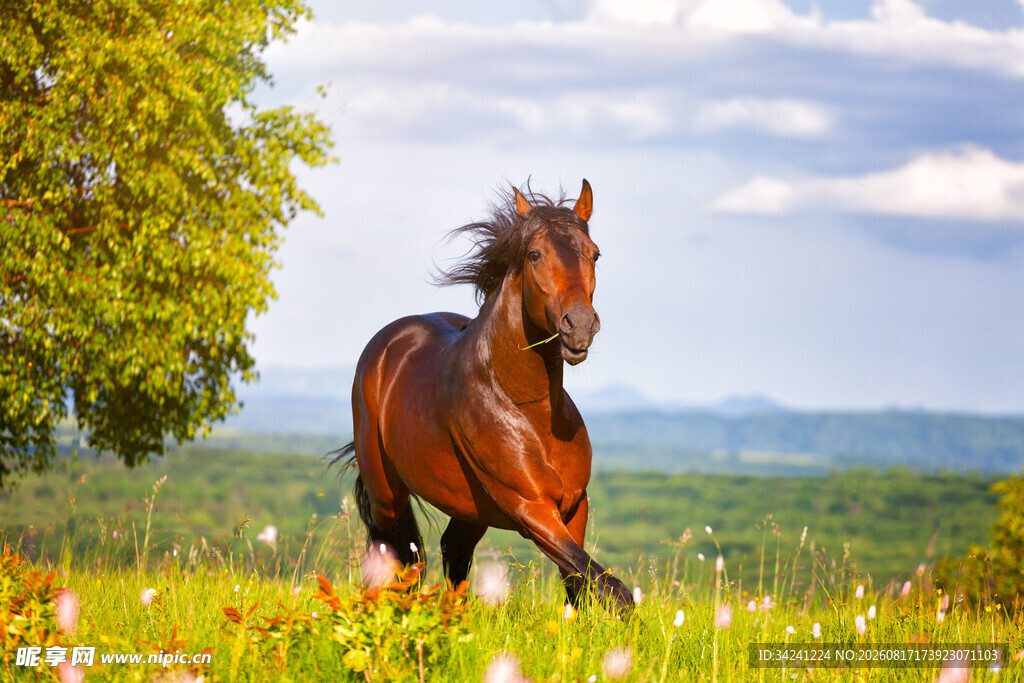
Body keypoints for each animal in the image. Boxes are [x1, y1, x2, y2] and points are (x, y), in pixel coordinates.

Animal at [333, 179, 633, 612]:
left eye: (594, 253)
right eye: (534, 254)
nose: (579, 326)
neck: (529, 409)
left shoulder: (575, 505)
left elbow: (579, 580)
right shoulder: (530, 508)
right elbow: (609, 586)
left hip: (470, 507)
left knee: (452, 550)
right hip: (386, 492)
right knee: (393, 552)